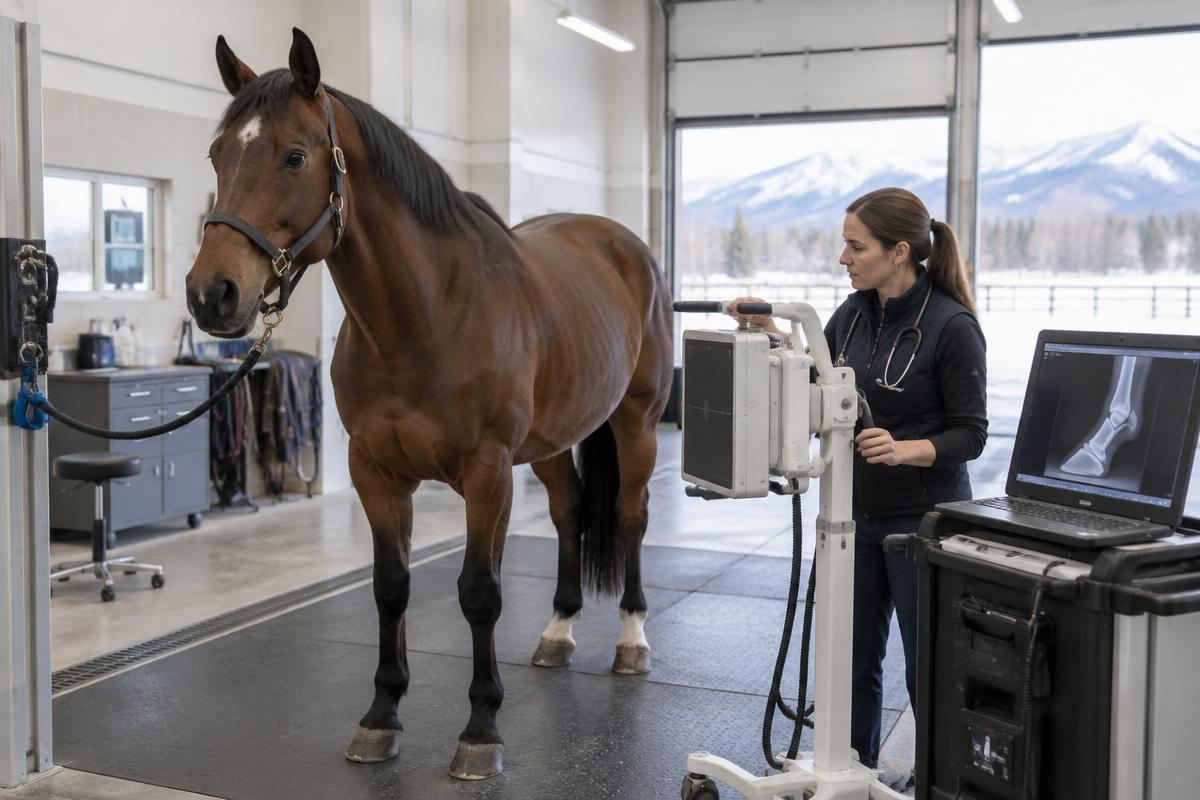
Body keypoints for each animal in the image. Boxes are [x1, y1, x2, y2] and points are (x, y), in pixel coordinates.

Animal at [185, 28, 673, 780]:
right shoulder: (376, 472)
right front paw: (380, 717)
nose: (212, 295)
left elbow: (480, 592)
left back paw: (631, 640)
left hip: (637, 424)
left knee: (628, 519)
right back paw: (558, 632)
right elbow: (391, 587)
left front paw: (481, 730)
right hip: (554, 442)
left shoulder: (487, 473)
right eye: (218, 155)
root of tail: (624, 245)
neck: (424, 317)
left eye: (295, 155)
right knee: (568, 516)